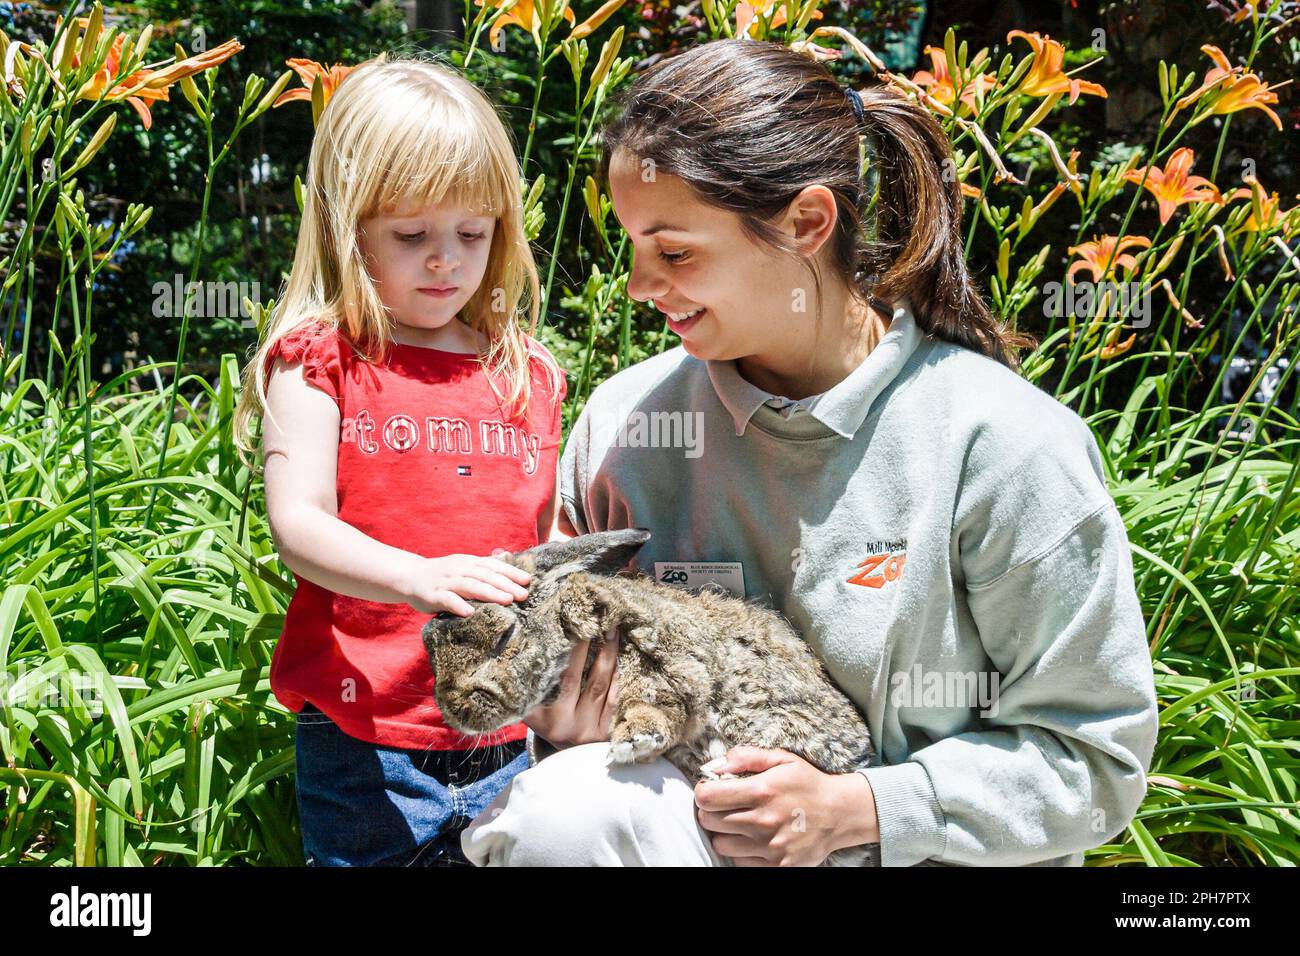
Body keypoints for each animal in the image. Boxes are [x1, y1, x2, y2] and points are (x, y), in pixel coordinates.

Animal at [421, 530, 878, 868]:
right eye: (429, 644)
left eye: (504, 637)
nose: (456, 713)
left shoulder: (669, 655)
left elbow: (657, 694)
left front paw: (635, 739)